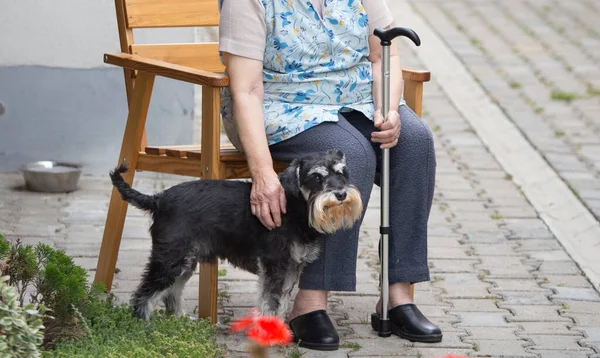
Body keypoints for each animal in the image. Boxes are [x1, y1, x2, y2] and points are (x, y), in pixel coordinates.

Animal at [108, 148, 364, 318]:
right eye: (316, 177)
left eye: (342, 173)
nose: (341, 194)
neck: (295, 207)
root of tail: (158, 200)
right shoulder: (275, 265)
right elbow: (271, 300)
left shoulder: (292, 267)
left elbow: (281, 300)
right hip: (170, 260)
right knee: (145, 292)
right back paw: (143, 322)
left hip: (185, 262)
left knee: (171, 292)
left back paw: (180, 319)